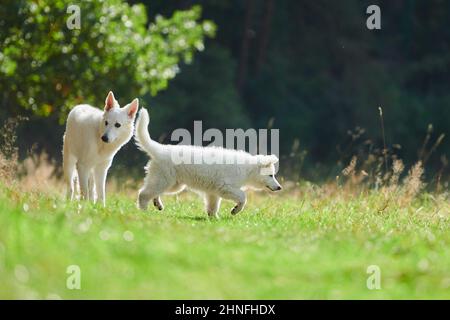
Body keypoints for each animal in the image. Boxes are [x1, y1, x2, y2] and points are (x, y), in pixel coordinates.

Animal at [134, 108, 282, 218]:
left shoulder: (213, 192)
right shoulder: (225, 187)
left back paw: (157, 204)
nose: (280, 187)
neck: (247, 169)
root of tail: (160, 149)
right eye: (271, 175)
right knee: (143, 193)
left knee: (152, 192)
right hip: (164, 180)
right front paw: (235, 210)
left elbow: (213, 206)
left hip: (174, 184)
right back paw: (143, 211)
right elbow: (243, 197)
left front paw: (214, 219)